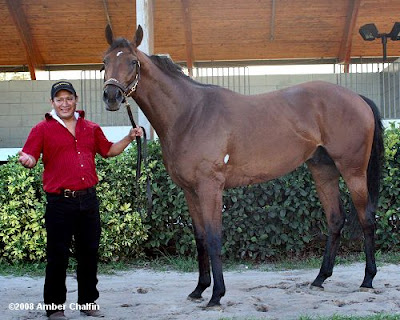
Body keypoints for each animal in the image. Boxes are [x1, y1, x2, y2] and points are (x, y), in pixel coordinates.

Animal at [102, 25, 384, 308]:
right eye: (104, 62)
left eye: (133, 62)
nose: (111, 96)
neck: (191, 114)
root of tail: (357, 98)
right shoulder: (190, 191)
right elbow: (200, 237)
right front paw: (199, 289)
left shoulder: (210, 187)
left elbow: (214, 237)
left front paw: (216, 295)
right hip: (323, 171)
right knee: (335, 219)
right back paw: (320, 279)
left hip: (353, 171)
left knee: (366, 218)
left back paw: (368, 280)